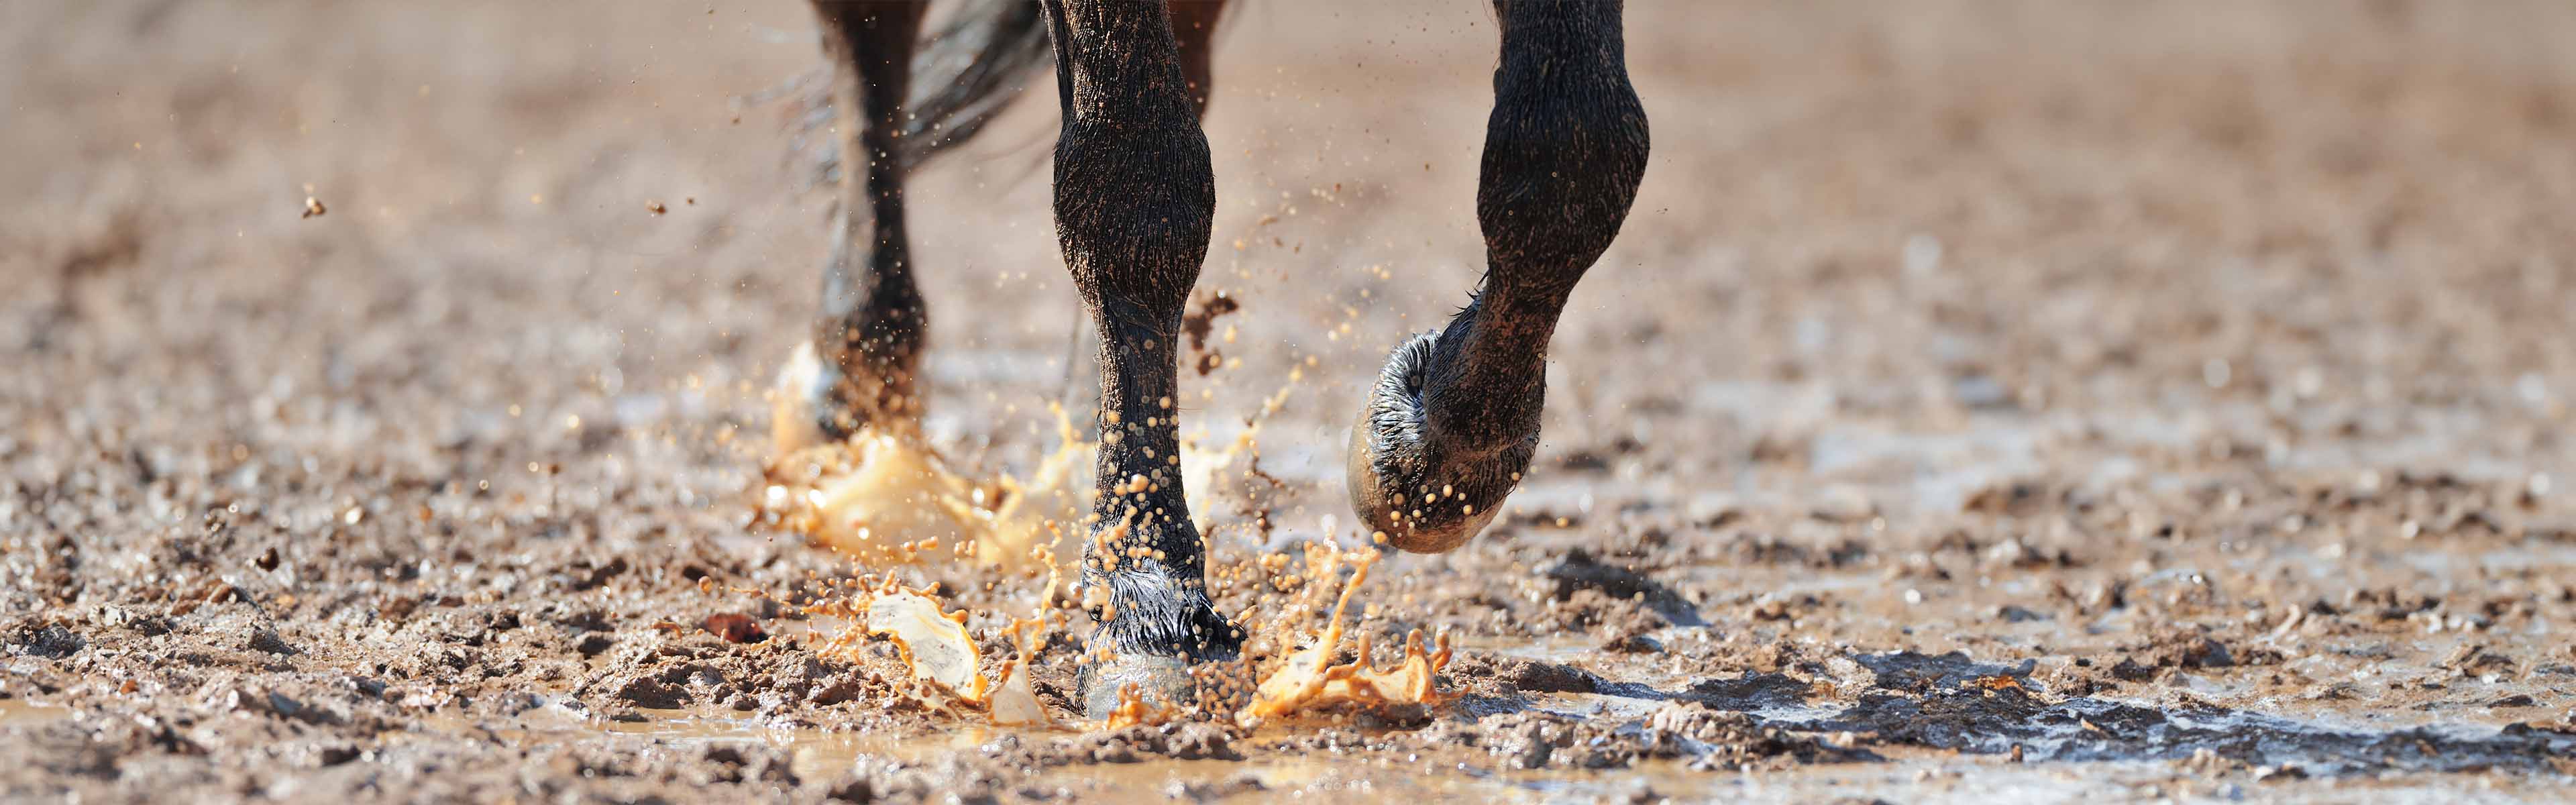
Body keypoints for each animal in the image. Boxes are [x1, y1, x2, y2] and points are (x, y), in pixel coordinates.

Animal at [773, 0, 1649, 718]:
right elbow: (1134, 185)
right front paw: (1152, 609)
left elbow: (1574, 151)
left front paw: (1434, 455)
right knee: (871, 44)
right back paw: (857, 379)